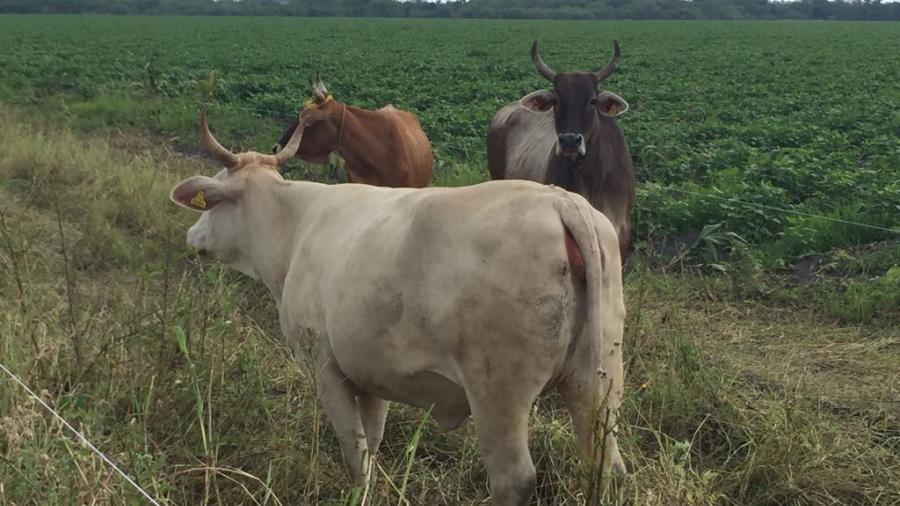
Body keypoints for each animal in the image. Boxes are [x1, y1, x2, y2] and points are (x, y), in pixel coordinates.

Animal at [171, 110, 627, 505]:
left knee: (514, 479)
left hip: (498, 396)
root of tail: (560, 202)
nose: (191, 235)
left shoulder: (326, 370)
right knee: (606, 463)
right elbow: (371, 445)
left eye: (213, 198)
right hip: (598, 381)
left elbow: (355, 453)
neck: (295, 225)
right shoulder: (371, 375)